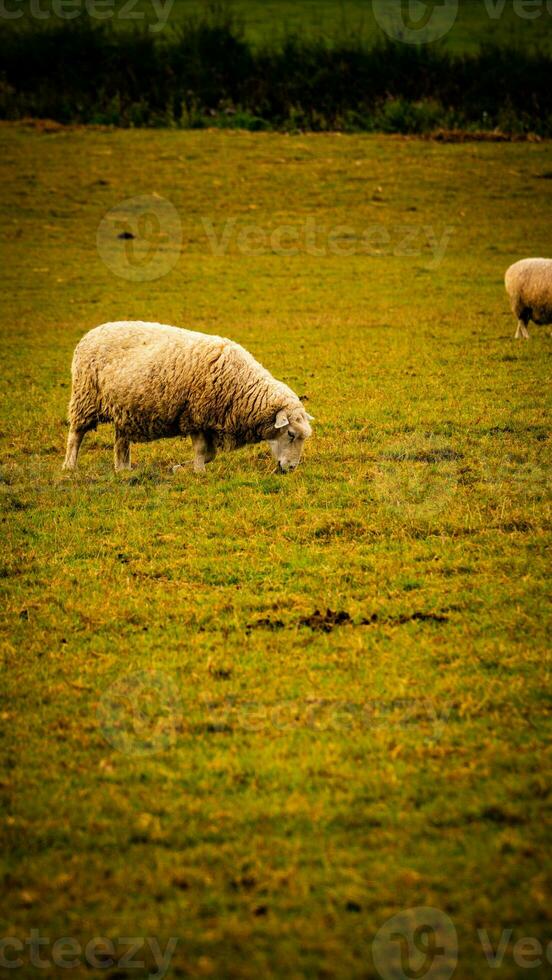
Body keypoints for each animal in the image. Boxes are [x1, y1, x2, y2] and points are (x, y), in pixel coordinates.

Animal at [62, 322, 312, 474]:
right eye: (290, 434)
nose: (291, 469)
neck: (242, 386)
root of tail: (92, 332)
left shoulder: (209, 420)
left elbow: (210, 454)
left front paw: (179, 468)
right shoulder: (196, 415)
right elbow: (203, 451)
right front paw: (198, 472)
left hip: (124, 408)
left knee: (121, 441)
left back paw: (123, 470)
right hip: (85, 397)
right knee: (76, 434)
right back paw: (69, 466)